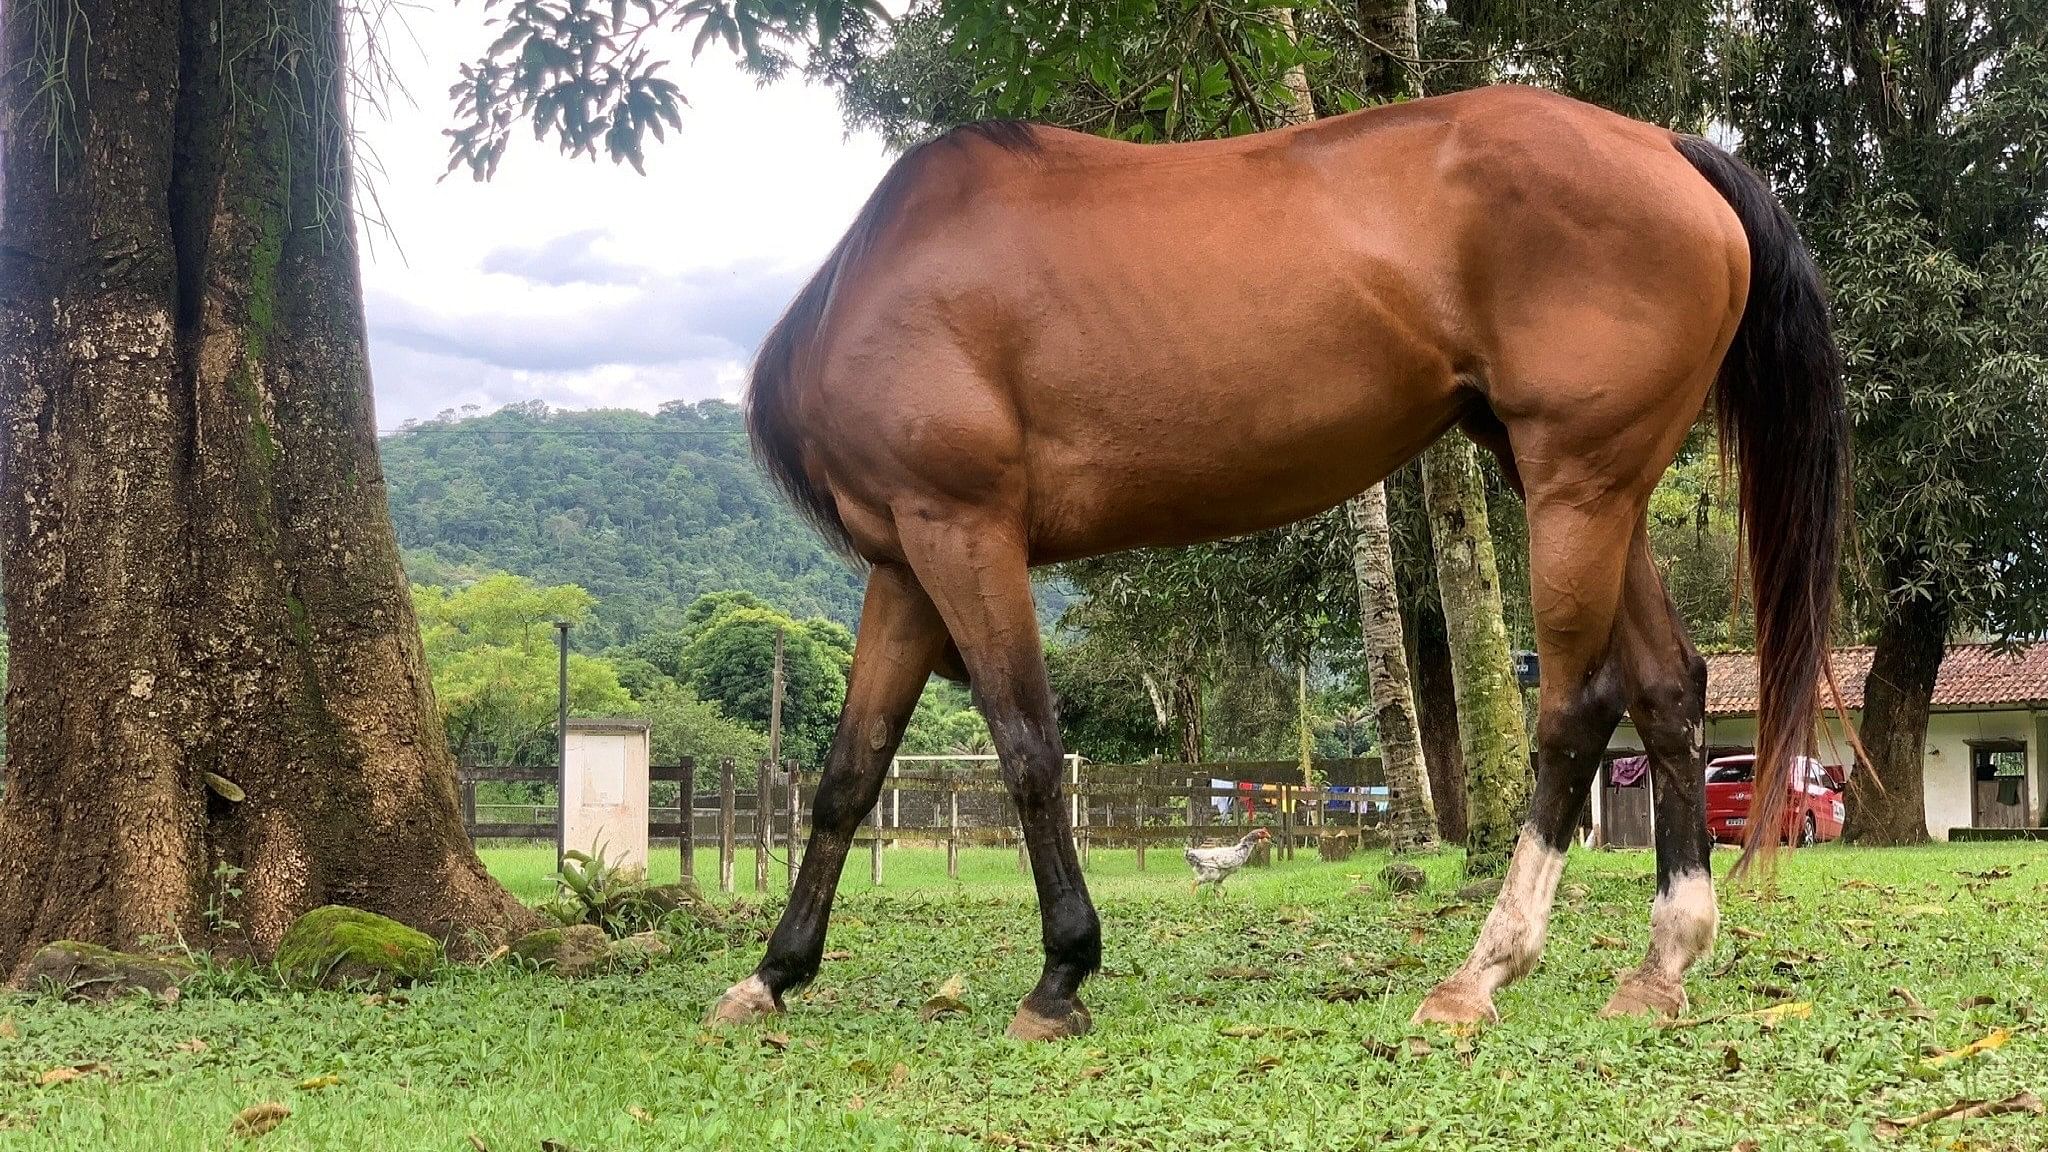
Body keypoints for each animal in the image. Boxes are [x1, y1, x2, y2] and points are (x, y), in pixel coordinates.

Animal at [712, 85, 1851, 1037]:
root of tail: (1663, 146)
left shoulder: (963, 530)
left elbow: (1028, 750)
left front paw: (1061, 974)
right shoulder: (905, 563)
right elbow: (848, 775)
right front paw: (771, 975)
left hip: (1576, 486)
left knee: (1577, 707)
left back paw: (1481, 971)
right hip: (1591, 488)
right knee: (1667, 687)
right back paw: (1662, 963)